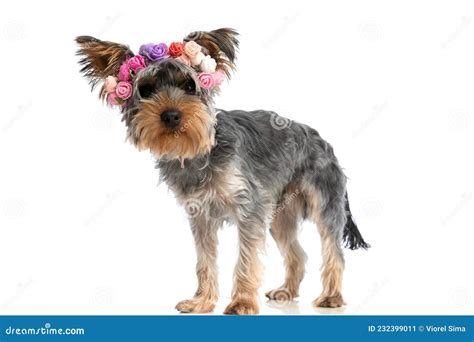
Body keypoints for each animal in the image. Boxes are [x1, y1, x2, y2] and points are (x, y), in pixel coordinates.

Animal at [75, 28, 370, 314]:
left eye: (190, 85)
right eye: (145, 90)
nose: (171, 115)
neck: (199, 151)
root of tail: (324, 142)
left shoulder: (250, 209)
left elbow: (246, 259)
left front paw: (241, 303)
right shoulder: (201, 216)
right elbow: (205, 260)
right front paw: (201, 302)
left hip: (325, 201)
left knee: (333, 250)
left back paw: (331, 297)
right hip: (280, 215)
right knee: (297, 253)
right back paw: (286, 292)